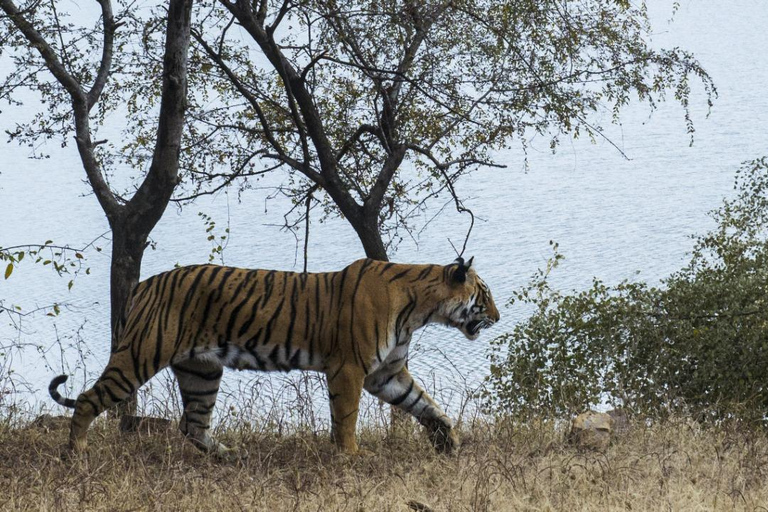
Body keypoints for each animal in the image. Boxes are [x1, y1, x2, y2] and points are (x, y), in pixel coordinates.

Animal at [51, 258, 500, 458]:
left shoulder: (386, 373)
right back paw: (77, 454)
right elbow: (346, 417)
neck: (420, 309)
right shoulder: (349, 370)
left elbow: (424, 403)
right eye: (485, 295)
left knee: (192, 424)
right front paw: (350, 456)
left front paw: (448, 440)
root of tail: (144, 284)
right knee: (89, 399)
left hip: (202, 371)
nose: (497, 317)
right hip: (140, 355)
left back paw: (230, 456)